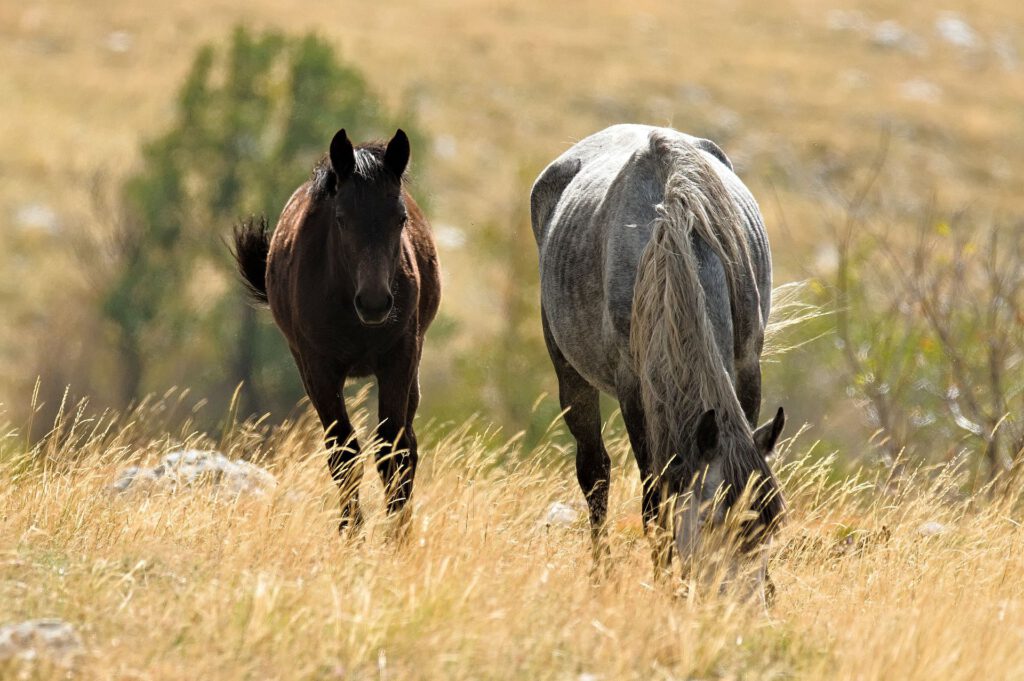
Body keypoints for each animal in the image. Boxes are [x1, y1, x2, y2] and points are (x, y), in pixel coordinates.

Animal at [232, 128, 440, 534]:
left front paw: (395, 536)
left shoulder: (399, 358)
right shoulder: (319, 368)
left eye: (400, 218)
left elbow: (393, 450)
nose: (375, 303)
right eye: (342, 218)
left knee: (406, 446)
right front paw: (351, 532)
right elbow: (343, 452)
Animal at [530, 124, 786, 599]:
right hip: (570, 375)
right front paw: (665, 583)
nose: (736, 607)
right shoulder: (635, 389)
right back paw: (601, 574)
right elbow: (655, 502)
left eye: (771, 525)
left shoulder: (746, 368)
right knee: (594, 474)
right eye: (710, 521)